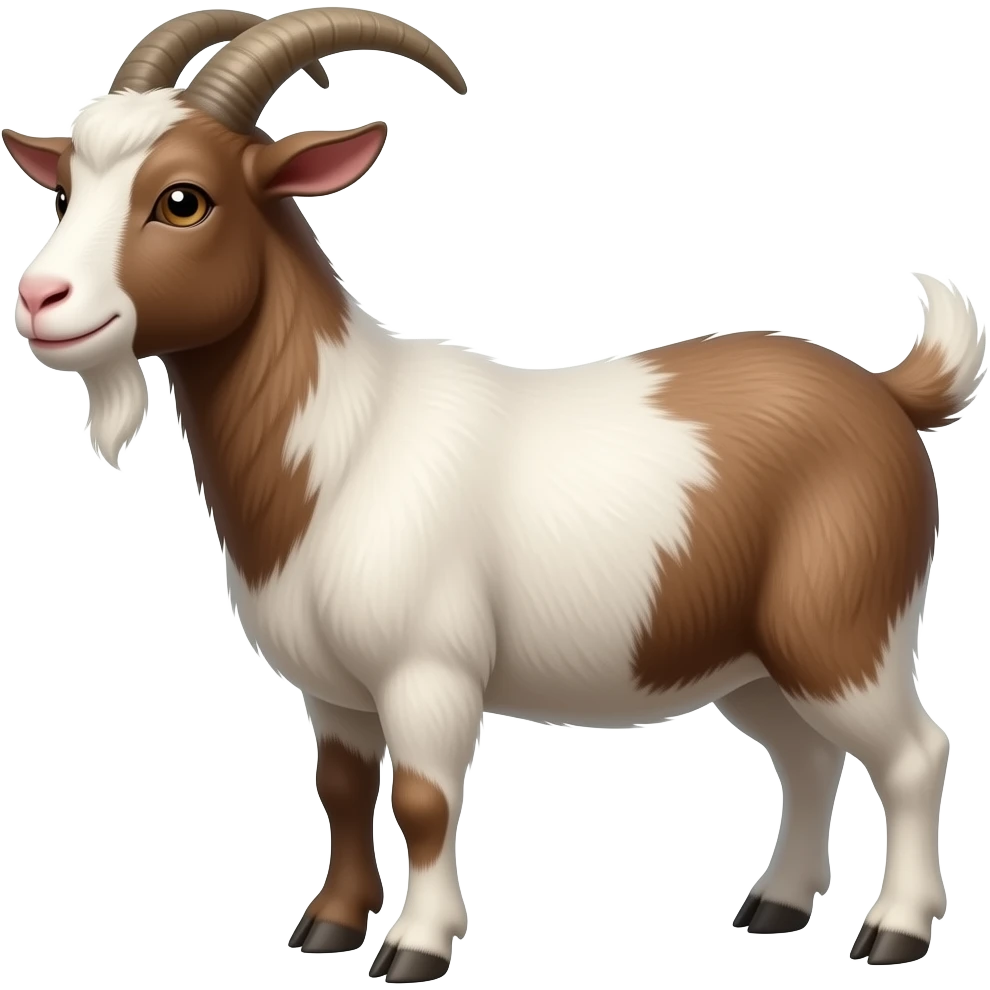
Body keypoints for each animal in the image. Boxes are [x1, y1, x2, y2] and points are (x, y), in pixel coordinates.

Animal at [2, 7, 983, 979]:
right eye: (64, 191)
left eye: (183, 199)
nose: (39, 297)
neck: (349, 440)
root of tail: (887, 394)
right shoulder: (334, 690)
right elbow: (342, 789)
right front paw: (328, 926)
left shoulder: (427, 670)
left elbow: (425, 800)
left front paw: (416, 945)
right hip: (746, 655)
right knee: (808, 756)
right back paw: (778, 904)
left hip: (844, 629)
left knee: (912, 754)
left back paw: (896, 930)